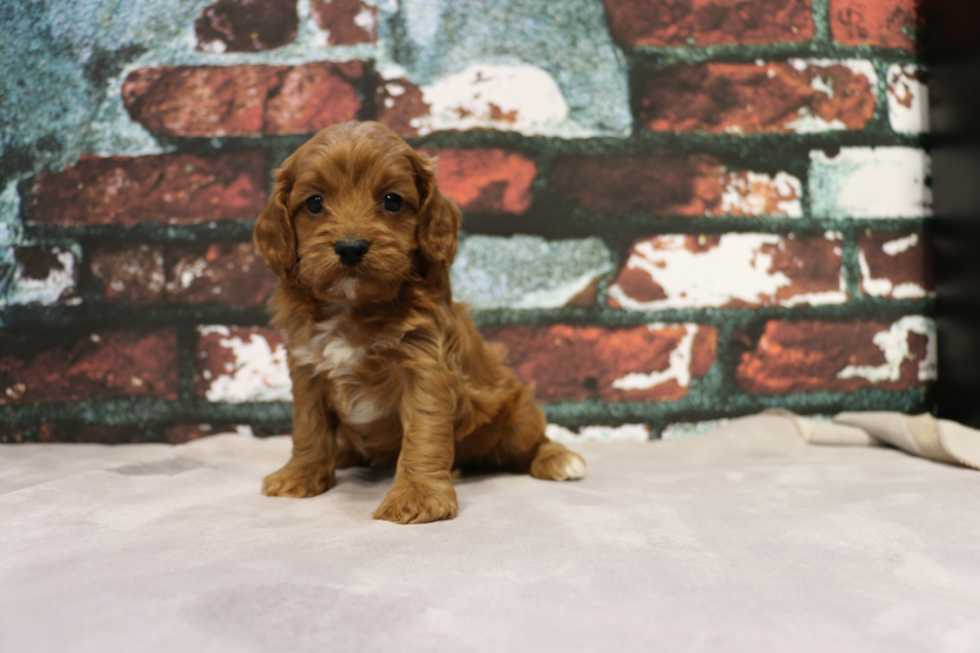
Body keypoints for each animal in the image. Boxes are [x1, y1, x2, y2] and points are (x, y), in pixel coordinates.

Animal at [253, 119, 584, 524]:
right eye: (314, 203)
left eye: (392, 201)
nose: (350, 247)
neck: (354, 305)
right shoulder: (306, 368)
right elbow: (309, 427)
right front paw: (301, 475)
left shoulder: (425, 364)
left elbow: (424, 433)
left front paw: (418, 497)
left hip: (514, 416)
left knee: (534, 438)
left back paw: (560, 459)